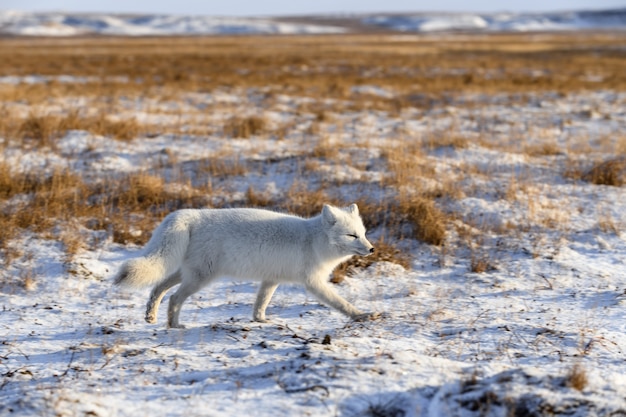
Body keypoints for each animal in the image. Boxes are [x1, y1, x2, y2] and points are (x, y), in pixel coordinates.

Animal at [112, 203, 376, 326]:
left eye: (363, 234)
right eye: (352, 236)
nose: (372, 249)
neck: (313, 241)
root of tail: (191, 215)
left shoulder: (271, 279)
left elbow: (261, 303)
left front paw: (261, 321)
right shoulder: (313, 283)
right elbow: (341, 303)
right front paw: (361, 315)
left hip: (187, 273)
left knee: (158, 288)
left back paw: (151, 316)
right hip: (200, 277)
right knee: (175, 298)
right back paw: (174, 325)